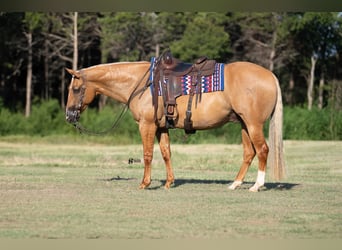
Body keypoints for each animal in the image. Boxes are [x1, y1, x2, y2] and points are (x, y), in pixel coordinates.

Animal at [65, 58, 286, 191]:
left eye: (75, 89)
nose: (69, 115)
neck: (141, 84)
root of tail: (270, 75)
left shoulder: (147, 125)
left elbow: (147, 154)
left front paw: (145, 183)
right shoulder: (161, 127)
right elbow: (166, 153)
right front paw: (169, 182)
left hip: (253, 124)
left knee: (263, 150)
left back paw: (256, 185)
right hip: (243, 124)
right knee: (249, 152)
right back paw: (235, 183)